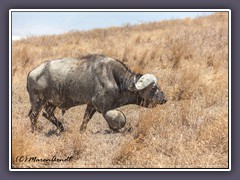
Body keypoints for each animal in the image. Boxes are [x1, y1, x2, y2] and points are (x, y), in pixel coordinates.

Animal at [27, 54, 167, 134]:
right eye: (154, 87)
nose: (165, 99)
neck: (115, 78)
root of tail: (32, 72)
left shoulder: (91, 105)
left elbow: (86, 119)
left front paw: (82, 131)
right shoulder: (102, 107)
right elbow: (117, 118)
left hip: (51, 103)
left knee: (47, 114)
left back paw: (61, 128)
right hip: (38, 102)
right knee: (34, 116)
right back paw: (34, 131)